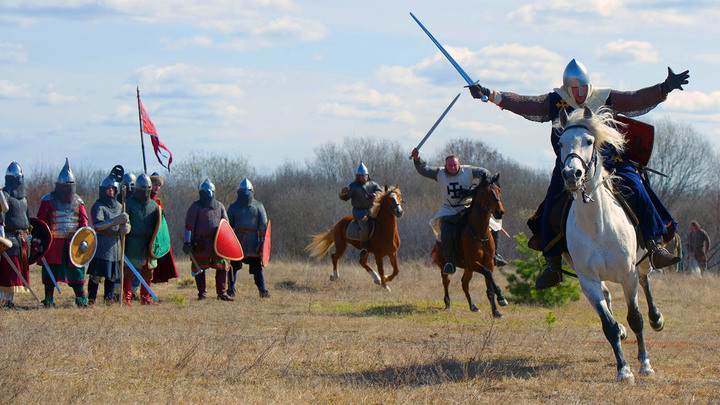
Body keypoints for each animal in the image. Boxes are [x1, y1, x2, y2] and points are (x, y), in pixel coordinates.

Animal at [434, 172, 506, 318]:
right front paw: (501, 297)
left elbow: (489, 285)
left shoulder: (488, 263)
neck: (480, 233)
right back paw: (448, 303)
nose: (499, 212)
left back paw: (473, 306)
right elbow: (488, 275)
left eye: (499, 190)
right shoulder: (473, 263)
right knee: (446, 281)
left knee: (464, 284)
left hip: (468, 269)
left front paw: (496, 311)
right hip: (445, 265)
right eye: (485, 192)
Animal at [556, 105, 664, 384]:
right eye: (560, 143)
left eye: (589, 141)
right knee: (607, 296)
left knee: (646, 280)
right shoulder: (588, 280)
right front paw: (623, 369)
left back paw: (656, 319)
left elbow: (636, 318)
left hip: (643, 261)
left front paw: (645, 364)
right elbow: (608, 326)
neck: (598, 224)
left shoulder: (628, 275)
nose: (571, 175)